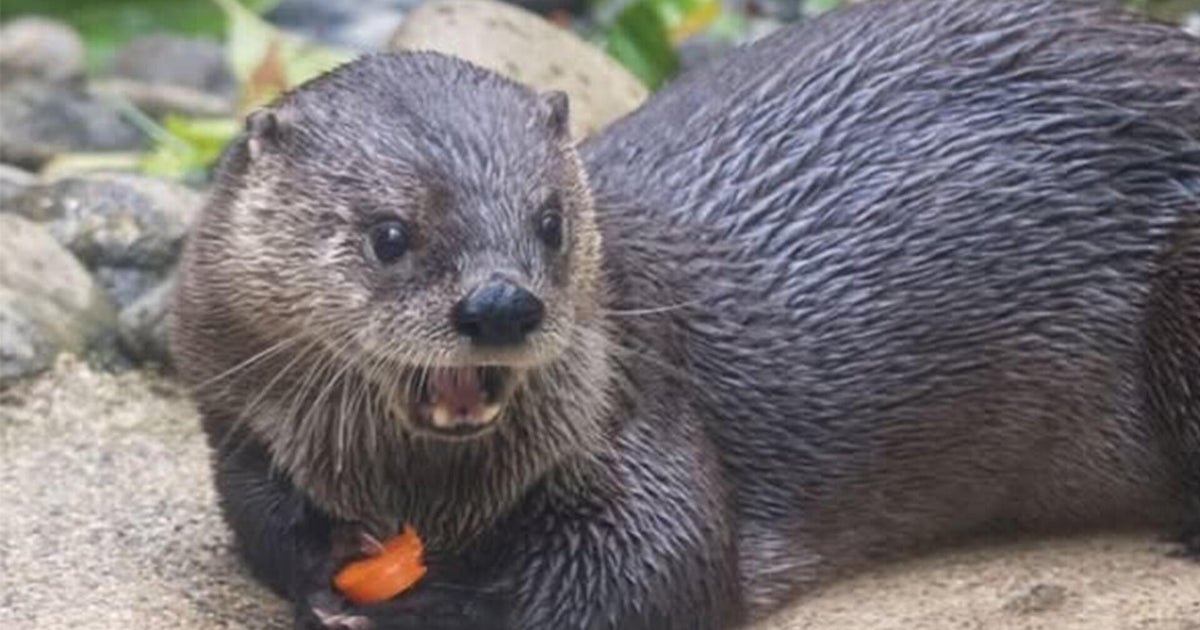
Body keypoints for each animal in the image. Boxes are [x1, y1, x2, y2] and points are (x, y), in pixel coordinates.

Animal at [171, 0, 1200, 628]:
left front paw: (447, 605)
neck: (429, 496)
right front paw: (332, 567)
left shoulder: (635, 409)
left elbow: (658, 570)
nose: (502, 304)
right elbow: (261, 524)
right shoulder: (236, 424)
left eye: (549, 220)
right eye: (391, 234)